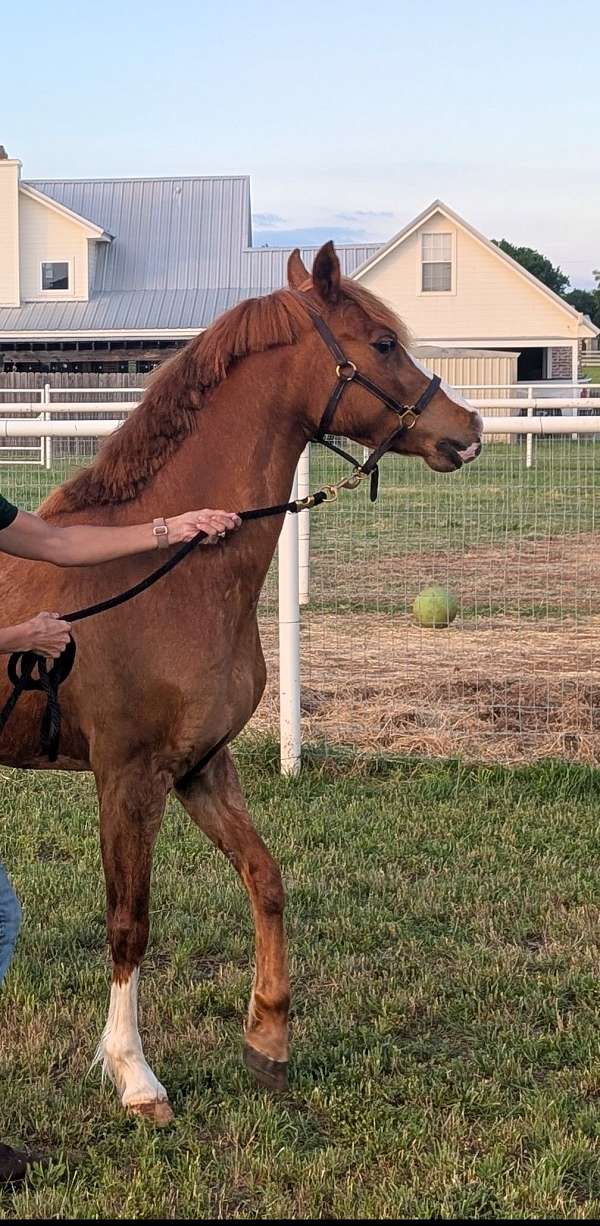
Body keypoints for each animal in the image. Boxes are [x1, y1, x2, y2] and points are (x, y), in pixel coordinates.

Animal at [0, 243, 483, 1123]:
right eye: (383, 343)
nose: (469, 430)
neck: (169, 572)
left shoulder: (201, 768)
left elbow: (267, 879)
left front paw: (268, 1039)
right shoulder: (129, 778)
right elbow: (129, 922)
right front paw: (135, 1075)